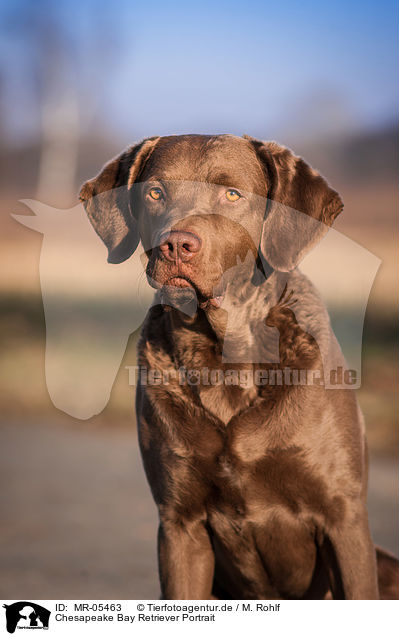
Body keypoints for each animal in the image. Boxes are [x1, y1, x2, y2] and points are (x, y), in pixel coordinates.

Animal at [79, 132, 399, 600]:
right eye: (155, 192)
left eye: (232, 194)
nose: (176, 245)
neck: (225, 354)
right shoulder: (179, 522)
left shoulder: (344, 515)